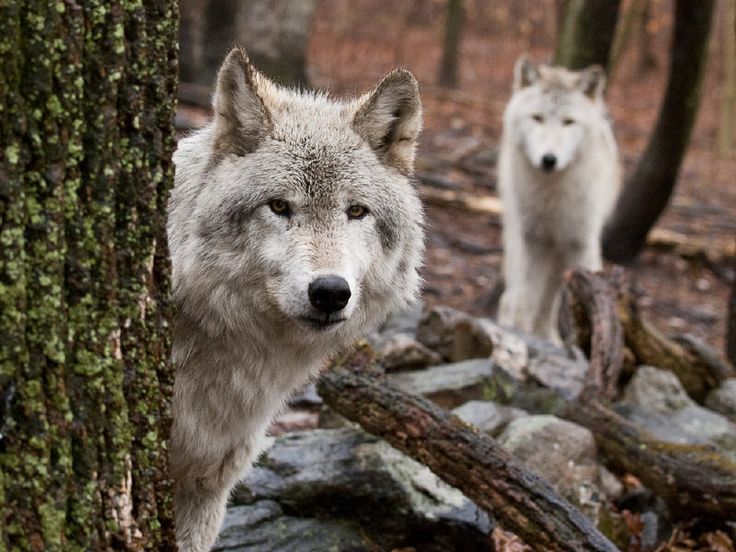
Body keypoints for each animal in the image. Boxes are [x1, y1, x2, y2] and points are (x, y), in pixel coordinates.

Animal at [497, 57, 621, 341]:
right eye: (537, 118)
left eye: (568, 122)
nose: (549, 159)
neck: (552, 198)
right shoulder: (533, 240)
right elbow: (526, 299)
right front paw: (520, 333)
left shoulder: (580, 244)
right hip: (518, 239)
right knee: (512, 294)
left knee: (549, 300)